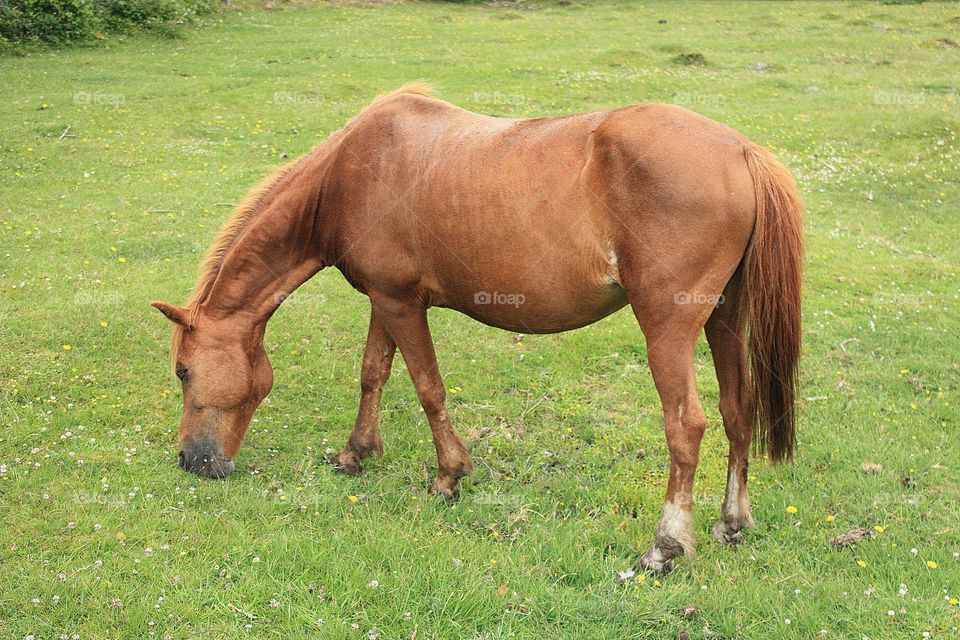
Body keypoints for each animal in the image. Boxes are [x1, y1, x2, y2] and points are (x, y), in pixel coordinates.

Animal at [152, 83, 803, 572]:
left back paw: (666, 545)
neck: (350, 173)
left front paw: (449, 476)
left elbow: (427, 388)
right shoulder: (385, 301)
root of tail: (741, 151)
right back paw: (731, 522)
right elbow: (373, 373)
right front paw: (356, 454)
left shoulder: (402, 305)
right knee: (736, 412)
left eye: (183, 371)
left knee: (686, 425)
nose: (193, 460)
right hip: (724, 319)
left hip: (668, 328)